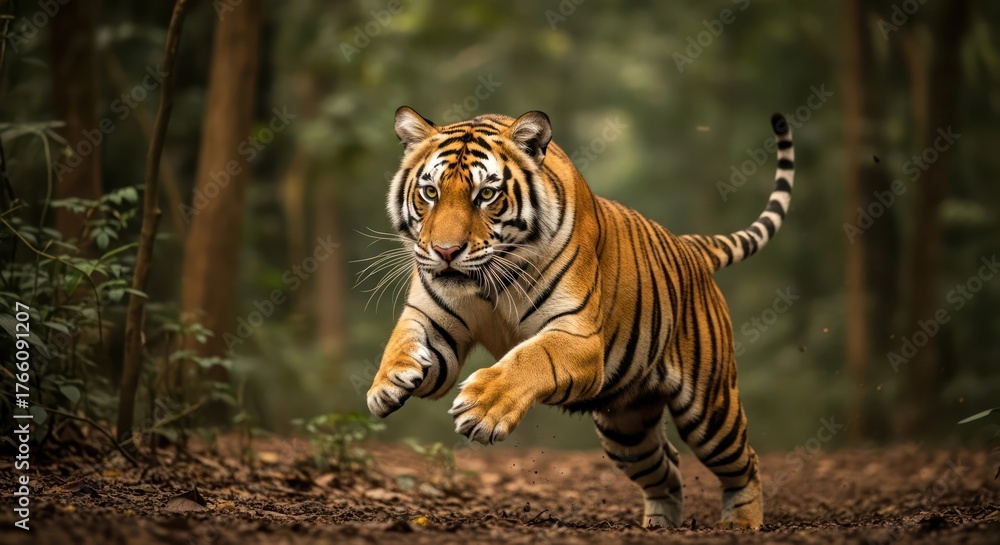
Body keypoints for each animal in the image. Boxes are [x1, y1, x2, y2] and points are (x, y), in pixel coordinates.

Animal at [366, 105, 794, 529]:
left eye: (486, 194)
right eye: (430, 192)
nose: (446, 251)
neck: (489, 281)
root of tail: (690, 246)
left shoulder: (579, 337)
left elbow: (531, 358)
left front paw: (482, 408)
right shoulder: (434, 320)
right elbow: (404, 338)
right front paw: (387, 384)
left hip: (710, 410)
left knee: (745, 463)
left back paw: (741, 524)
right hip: (627, 429)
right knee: (667, 468)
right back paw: (658, 526)